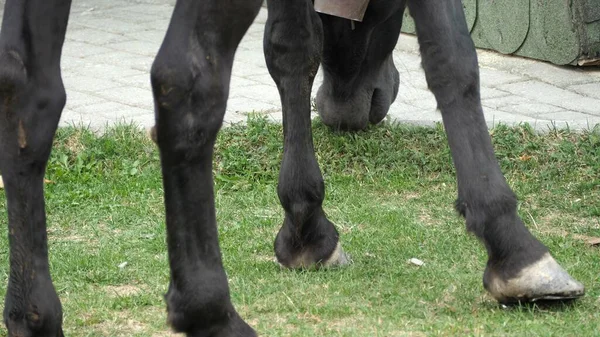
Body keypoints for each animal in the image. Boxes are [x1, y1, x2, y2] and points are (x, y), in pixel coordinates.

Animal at [0, 0, 584, 336]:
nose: (351, 108)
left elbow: (292, 45)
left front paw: (305, 224)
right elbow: (450, 51)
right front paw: (514, 248)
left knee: (29, 93)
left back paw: (34, 315)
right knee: (185, 81)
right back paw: (212, 315)